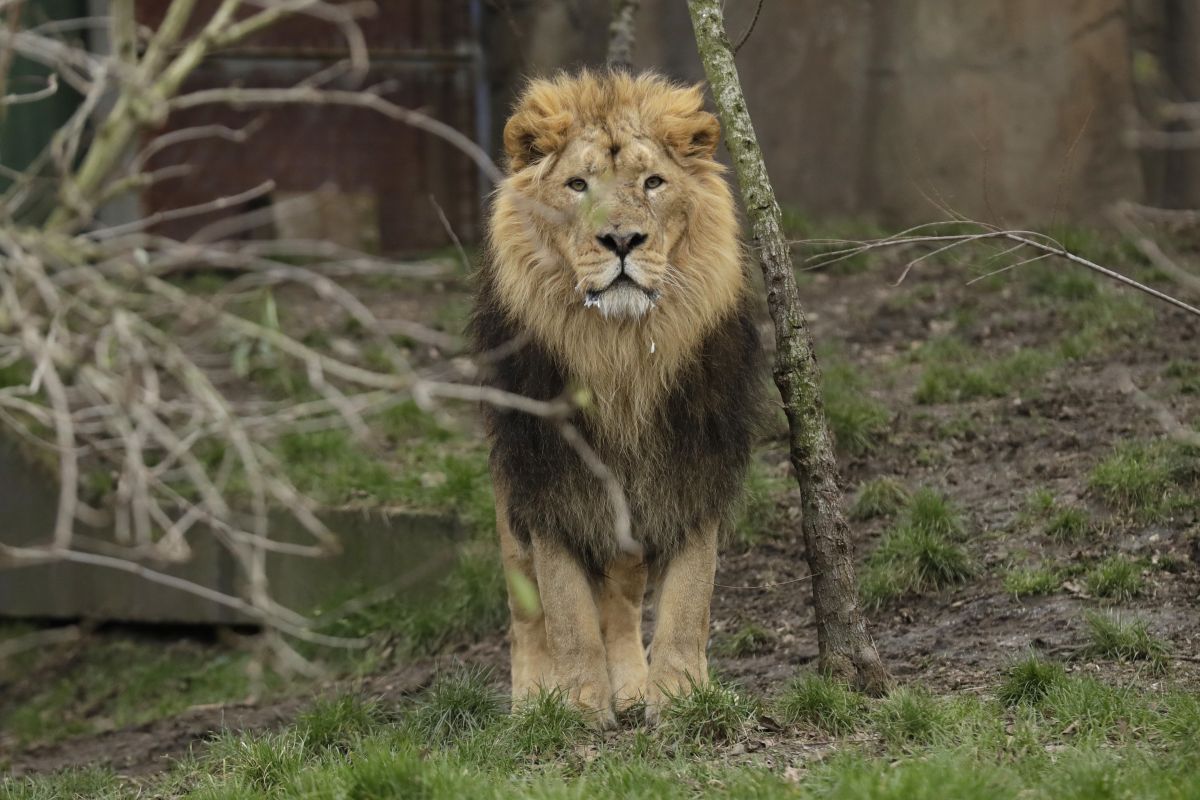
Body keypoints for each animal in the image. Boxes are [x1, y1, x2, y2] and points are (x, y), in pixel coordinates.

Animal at [465, 68, 758, 724]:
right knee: (526, 613)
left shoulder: (692, 471)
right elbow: (567, 613)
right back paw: (531, 702)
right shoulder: (549, 482)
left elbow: (688, 601)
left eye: (652, 182)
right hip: (509, 496)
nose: (622, 239)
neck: (620, 355)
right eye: (577, 184)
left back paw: (631, 687)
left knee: (622, 601)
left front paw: (680, 698)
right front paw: (575, 709)